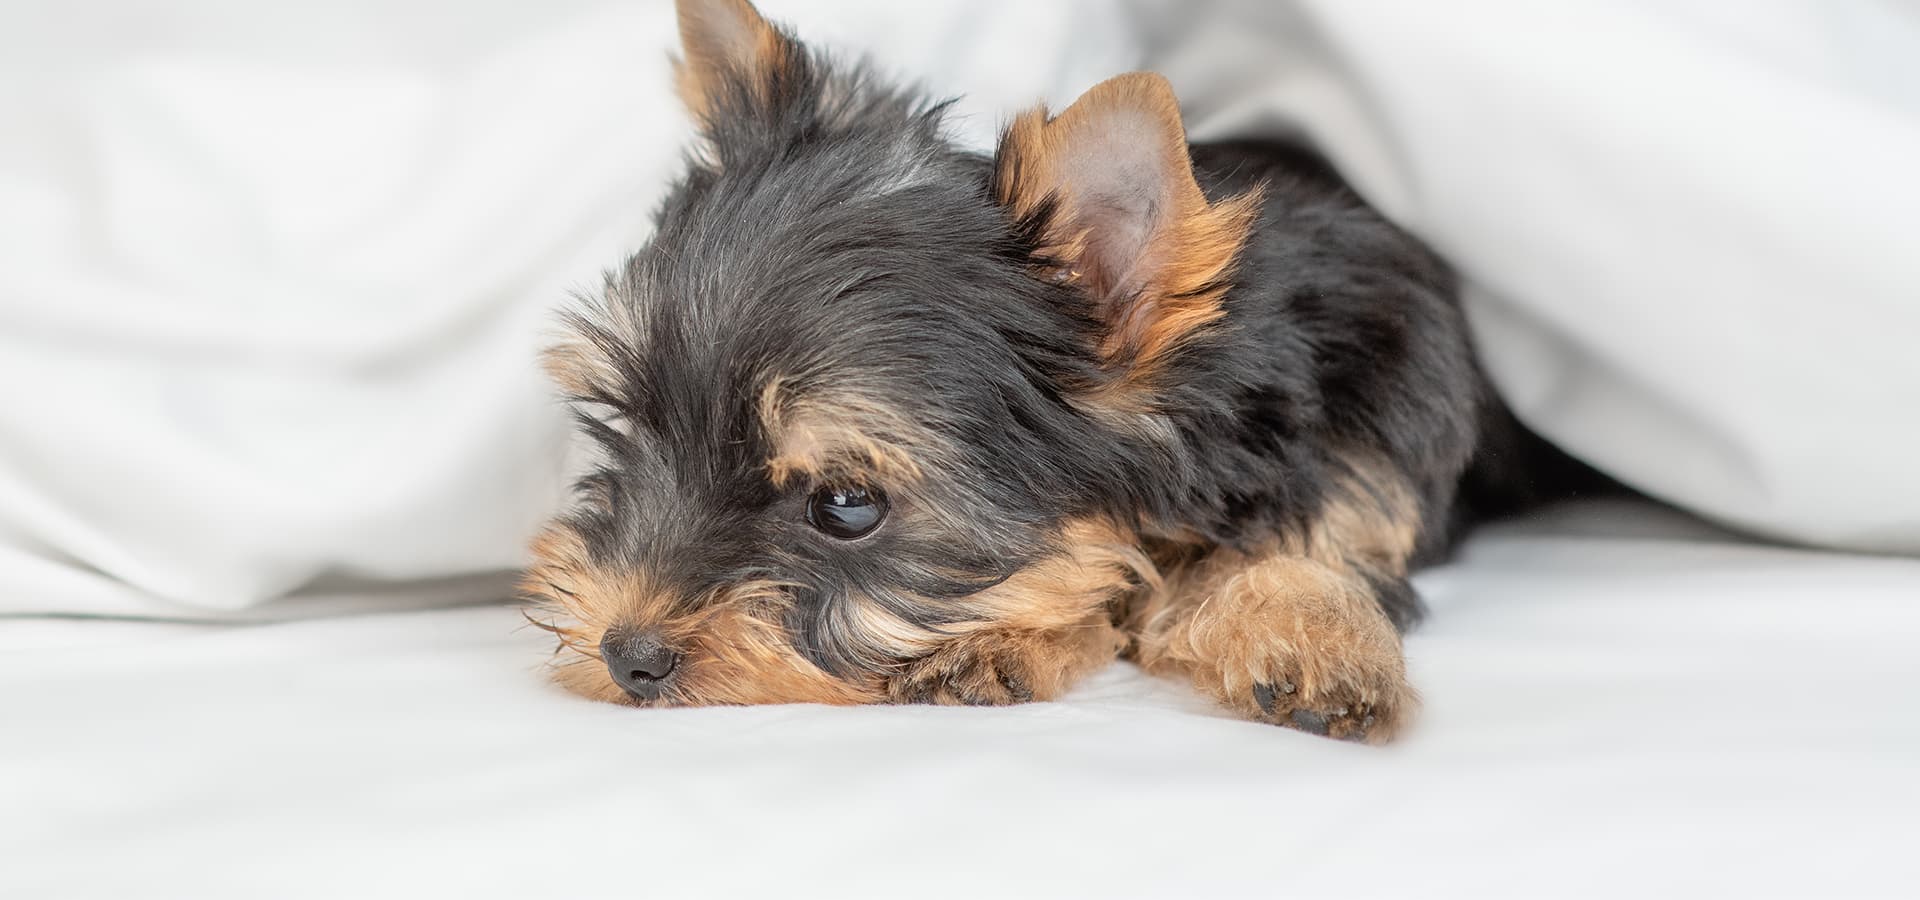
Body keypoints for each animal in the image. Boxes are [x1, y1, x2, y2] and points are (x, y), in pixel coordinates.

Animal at [522, 0, 1559, 744]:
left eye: (846, 507)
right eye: (632, 428)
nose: (627, 654)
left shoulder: (1369, 445)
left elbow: (1310, 546)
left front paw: (1315, 633)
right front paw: (1016, 639)